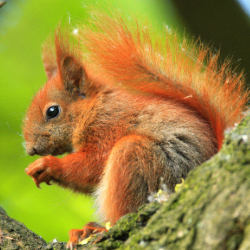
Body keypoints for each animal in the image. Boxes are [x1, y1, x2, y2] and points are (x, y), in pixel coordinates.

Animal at [23, 12, 248, 248]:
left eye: (52, 111)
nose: (30, 149)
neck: (95, 107)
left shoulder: (108, 127)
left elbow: (91, 164)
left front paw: (47, 165)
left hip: (140, 160)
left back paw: (97, 229)